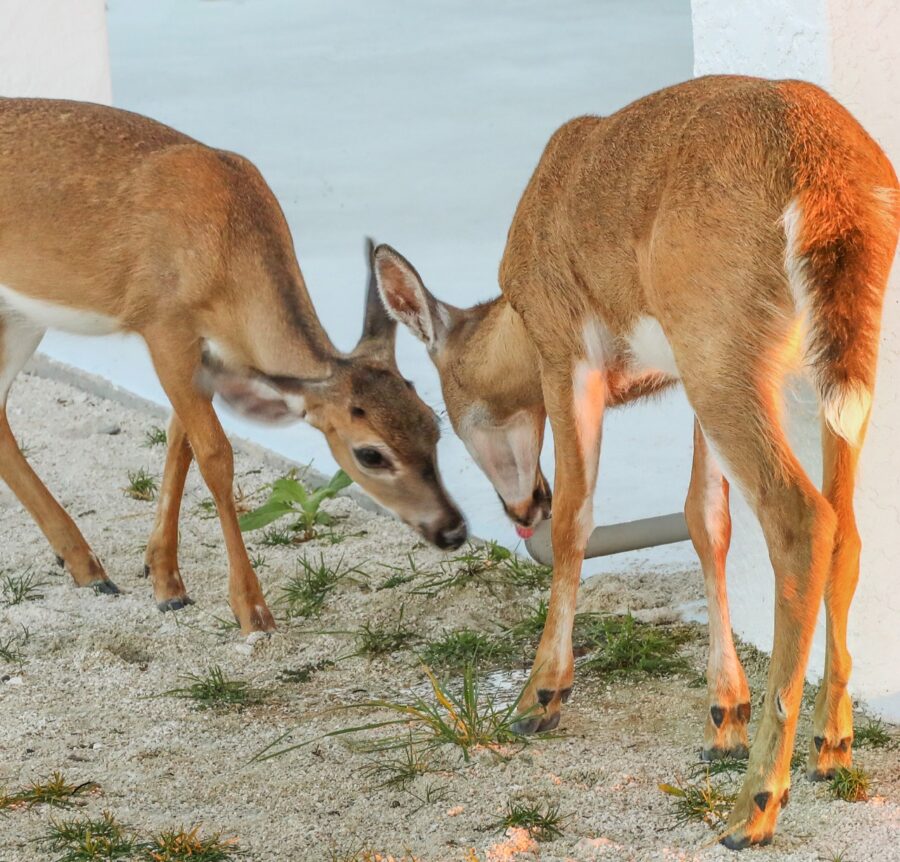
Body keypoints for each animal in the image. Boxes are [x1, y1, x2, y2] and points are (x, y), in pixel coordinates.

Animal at [0, 99, 464, 640]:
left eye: (434, 423)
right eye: (369, 454)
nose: (453, 529)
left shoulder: (207, 348)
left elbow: (179, 442)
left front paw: (165, 580)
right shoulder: (163, 324)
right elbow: (215, 456)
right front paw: (251, 610)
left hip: (21, 314)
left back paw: (86, 566)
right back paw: (90, 568)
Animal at [370, 79, 896, 852]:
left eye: (442, 417)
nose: (519, 505)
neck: (518, 320)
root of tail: (830, 184)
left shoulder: (570, 351)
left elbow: (577, 521)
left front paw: (540, 696)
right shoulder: (681, 374)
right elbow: (705, 519)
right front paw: (723, 716)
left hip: (723, 340)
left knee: (802, 520)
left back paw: (754, 807)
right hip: (822, 361)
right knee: (848, 527)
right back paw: (831, 746)